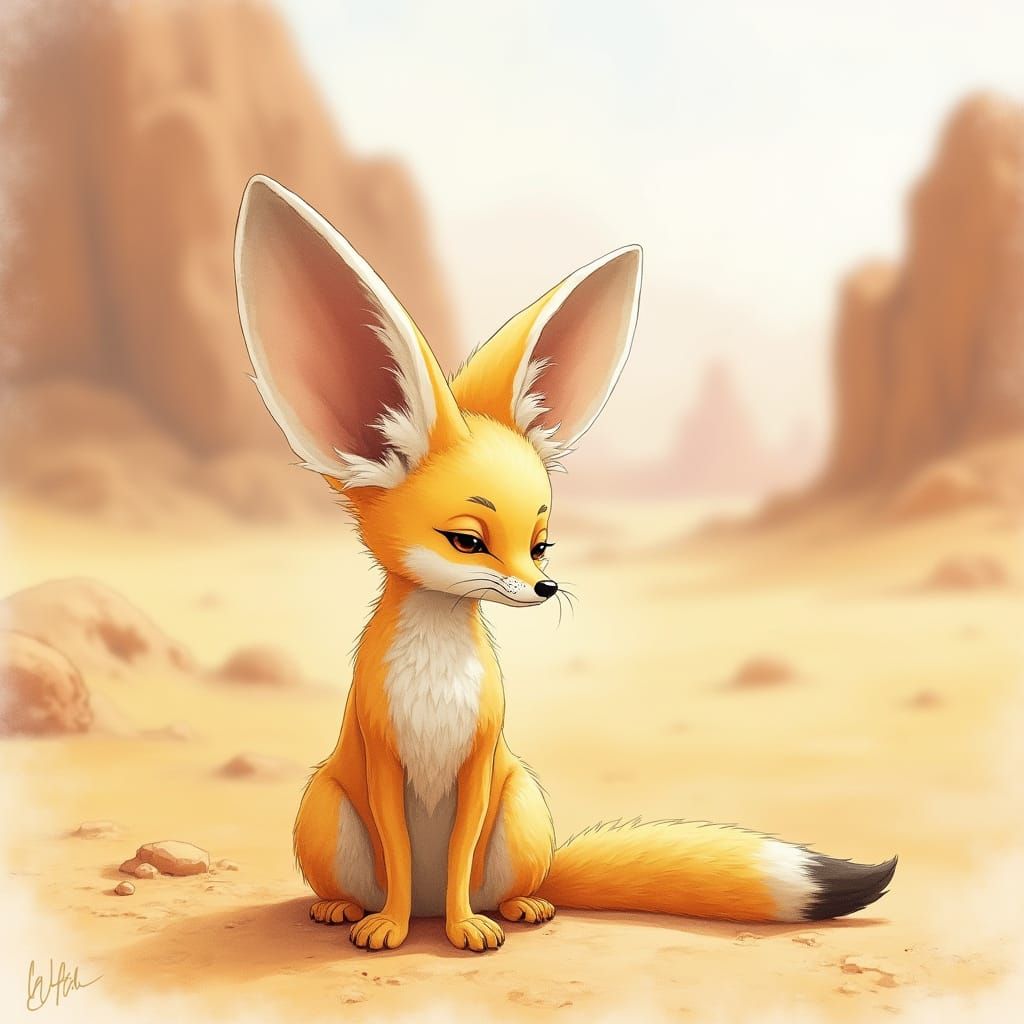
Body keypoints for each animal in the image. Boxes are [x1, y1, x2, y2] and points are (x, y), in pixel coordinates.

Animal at [233, 174, 896, 953]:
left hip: (521, 804)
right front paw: (388, 928)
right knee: (370, 878)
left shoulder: (481, 763)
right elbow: (397, 847)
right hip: (327, 804)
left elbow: (459, 853)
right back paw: (351, 910)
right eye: (468, 540)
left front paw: (466, 929)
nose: (546, 587)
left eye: (541, 542)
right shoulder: (382, 759)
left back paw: (513, 907)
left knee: (502, 882)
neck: (436, 681)